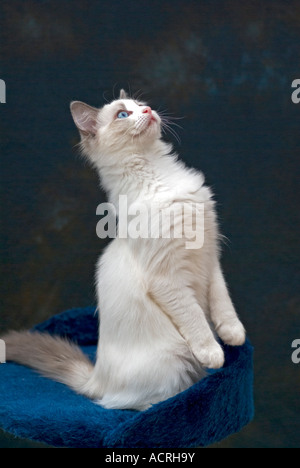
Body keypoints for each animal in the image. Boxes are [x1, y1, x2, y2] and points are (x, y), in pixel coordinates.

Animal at [2, 90, 245, 410]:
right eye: (122, 115)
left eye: (142, 105)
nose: (147, 110)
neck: (159, 173)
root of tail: (97, 378)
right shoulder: (168, 278)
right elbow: (195, 318)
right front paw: (214, 354)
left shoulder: (209, 257)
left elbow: (222, 300)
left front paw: (233, 335)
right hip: (171, 358)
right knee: (132, 404)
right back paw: (181, 396)